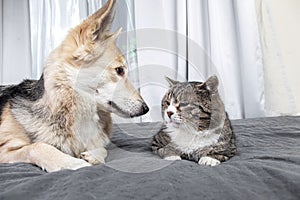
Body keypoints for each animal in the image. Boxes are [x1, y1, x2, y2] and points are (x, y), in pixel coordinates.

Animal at [0, 0, 149, 172]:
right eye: (119, 70)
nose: (146, 108)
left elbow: (103, 148)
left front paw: (93, 155)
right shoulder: (5, 149)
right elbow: (38, 146)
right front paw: (73, 163)